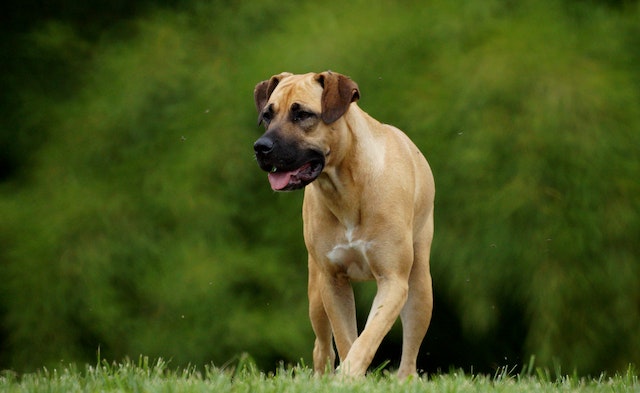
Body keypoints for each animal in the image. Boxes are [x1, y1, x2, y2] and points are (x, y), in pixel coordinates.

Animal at [250, 70, 436, 376]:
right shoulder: (332, 281)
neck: (347, 186)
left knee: (410, 352)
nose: (261, 147)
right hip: (315, 292)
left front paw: (349, 375)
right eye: (267, 115)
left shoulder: (393, 280)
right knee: (322, 346)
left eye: (302, 114)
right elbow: (346, 338)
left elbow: (368, 337)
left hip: (420, 284)